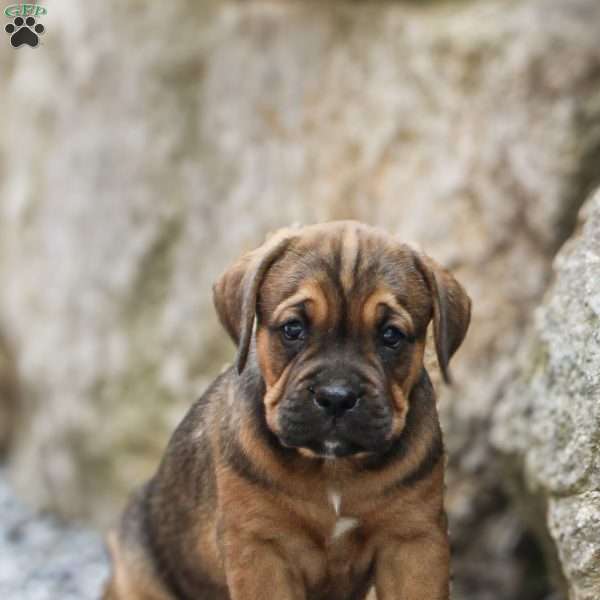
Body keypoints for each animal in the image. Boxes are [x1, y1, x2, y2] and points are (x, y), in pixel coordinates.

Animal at [105, 221, 474, 600]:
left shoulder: (412, 541)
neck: (334, 469)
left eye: (391, 336)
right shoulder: (260, 547)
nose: (336, 396)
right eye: (293, 329)